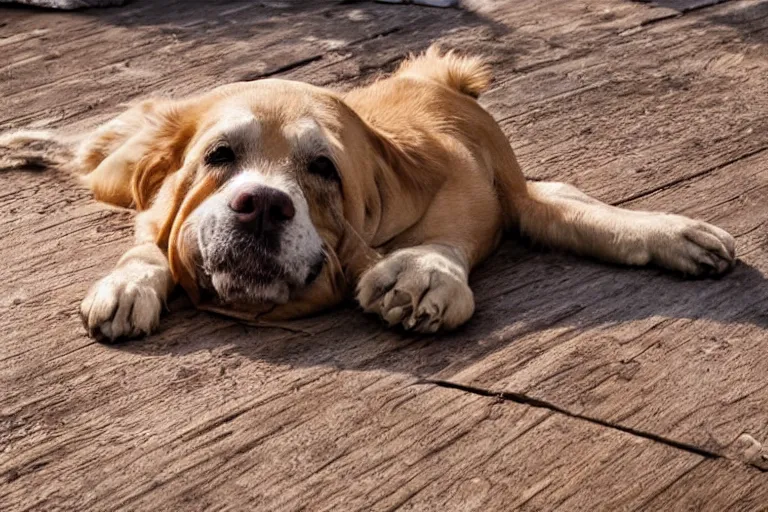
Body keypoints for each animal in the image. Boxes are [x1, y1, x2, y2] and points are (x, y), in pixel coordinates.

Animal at [0, 47, 736, 340]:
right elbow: (150, 245)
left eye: (324, 168)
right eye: (219, 157)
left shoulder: (504, 191)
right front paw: (129, 285)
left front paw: (422, 274)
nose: (261, 206)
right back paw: (25, 140)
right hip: (118, 168)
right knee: (92, 150)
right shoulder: (157, 210)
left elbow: (578, 217)